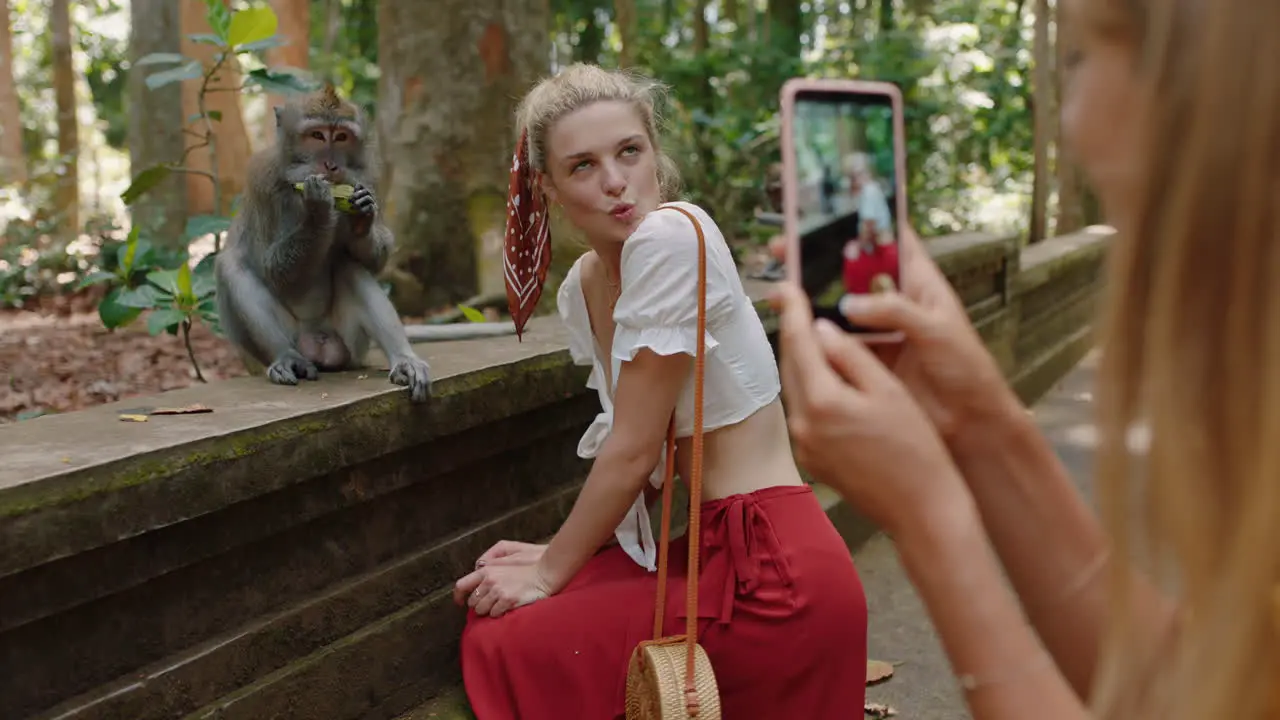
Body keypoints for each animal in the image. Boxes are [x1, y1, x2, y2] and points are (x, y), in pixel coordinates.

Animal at [215, 86, 514, 399]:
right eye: (317, 135)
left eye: (341, 137)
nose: (331, 165)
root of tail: (317, 342)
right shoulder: (261, 180)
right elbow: (271, 268)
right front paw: (318, 212)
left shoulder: (369, 177)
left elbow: (373, 261)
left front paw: (361, 218)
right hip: (278, 343)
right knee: (231, 266)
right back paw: (286, 356)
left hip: (351, 344)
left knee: (350, 267)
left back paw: (404, 360)